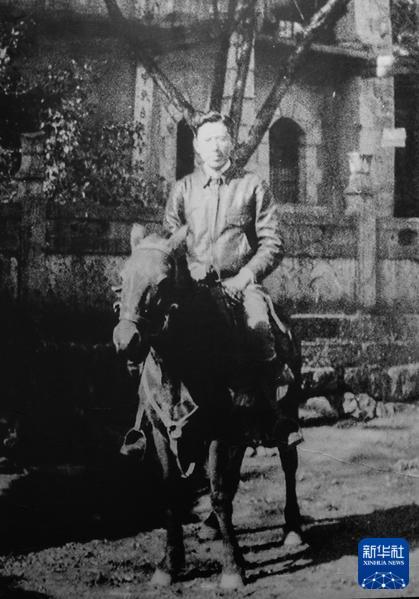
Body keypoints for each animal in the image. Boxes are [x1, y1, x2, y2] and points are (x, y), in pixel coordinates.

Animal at [113, 224, 304, 589]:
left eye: (162, 281)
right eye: (123, 276)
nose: (125, 341)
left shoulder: (219, 432)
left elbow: (217, 493)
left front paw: (232, 570)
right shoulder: (161, 432)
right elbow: (173, 492)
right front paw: (169, 565)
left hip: (285, 411)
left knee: (288, 463)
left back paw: (293, 529)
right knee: (233, 476)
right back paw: (212, 527)